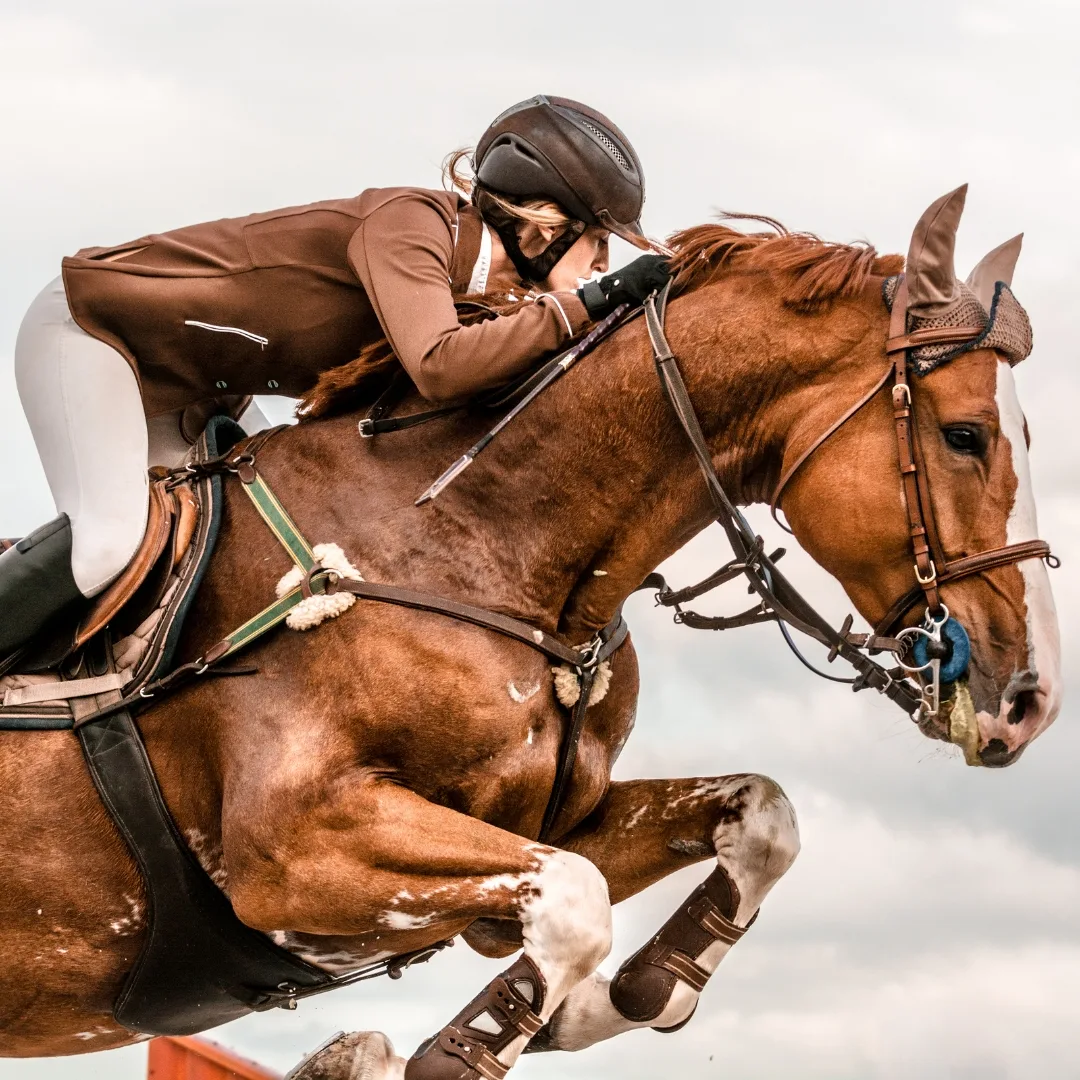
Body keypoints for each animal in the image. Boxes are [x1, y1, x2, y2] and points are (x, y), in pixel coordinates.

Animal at [0, 186, 1059, 1079]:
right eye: (966, 436)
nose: (1031, 702)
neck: (471, 536)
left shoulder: (553, 822)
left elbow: (758, 820)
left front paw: (626, 996)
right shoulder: (293, 849)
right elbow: (576, 902)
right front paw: (449, 1052)